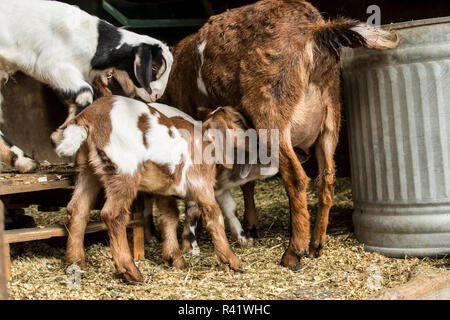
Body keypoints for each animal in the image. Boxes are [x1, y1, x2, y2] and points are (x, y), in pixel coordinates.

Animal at [0, 0, 172, 172]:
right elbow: (85, 94)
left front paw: (62, 137)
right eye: (154, 67)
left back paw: (24, 161)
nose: (157, 95)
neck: (93, 39)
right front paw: (65, 143)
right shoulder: (53, 65)